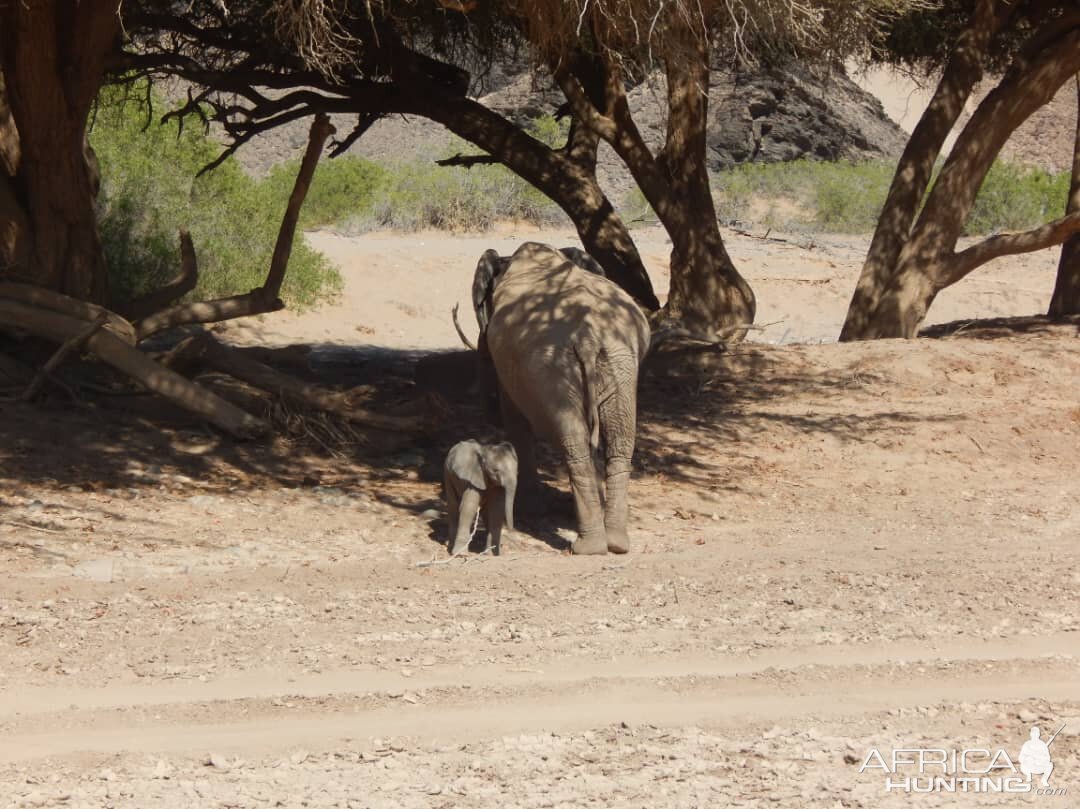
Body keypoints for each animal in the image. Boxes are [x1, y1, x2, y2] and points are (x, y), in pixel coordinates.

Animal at [470, 243, 639, 553]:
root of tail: (588, 336)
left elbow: (514, 417)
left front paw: (529, 507)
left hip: (551, 365)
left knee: (575, 441)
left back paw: (588, 546)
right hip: (617, 358)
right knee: (618, 439)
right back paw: (614, 543)